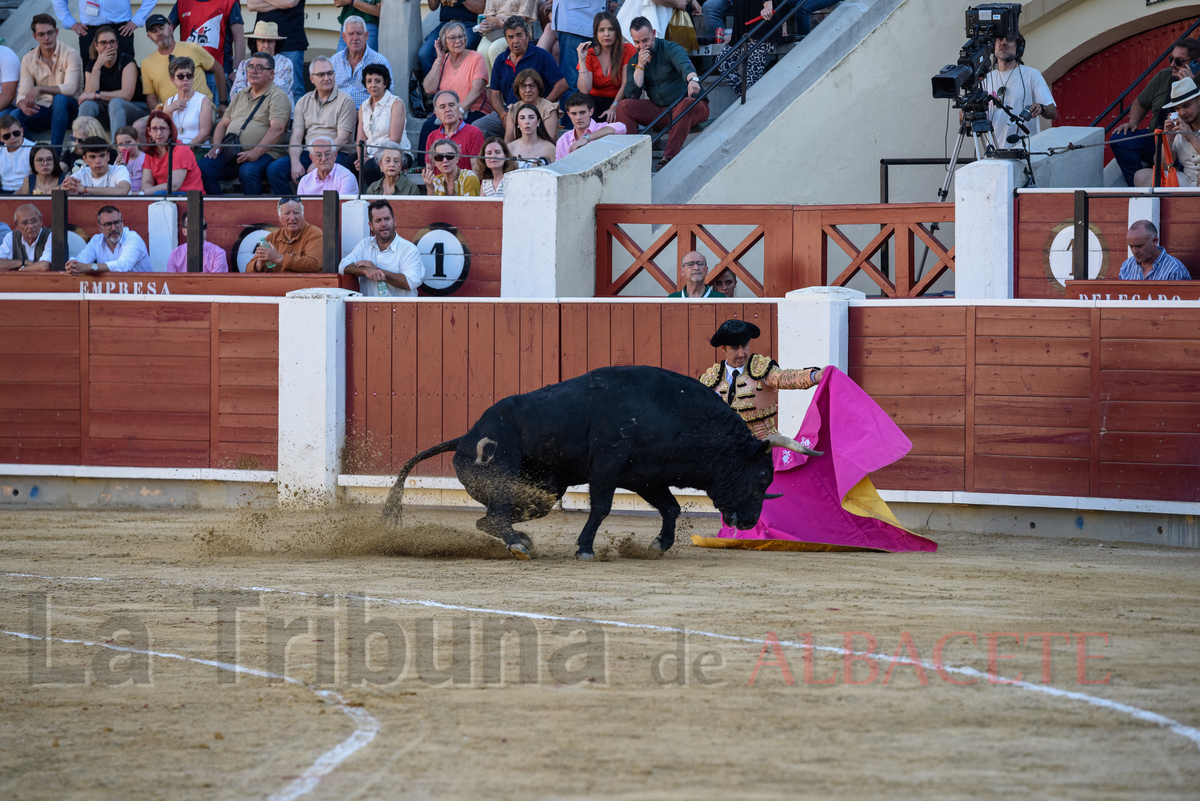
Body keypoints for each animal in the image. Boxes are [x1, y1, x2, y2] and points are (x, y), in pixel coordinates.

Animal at [379, 366, 820, 561]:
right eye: (761, 476)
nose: (748, 522)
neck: (673, 412)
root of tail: (466, 437)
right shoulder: (607, 469)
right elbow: (602, 507)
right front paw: (585, 548)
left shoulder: (646, 477)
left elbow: (671, 508)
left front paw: (659, 544)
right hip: (506, 479)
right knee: (497, 516)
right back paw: (520, 545)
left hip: (541, 493)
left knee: (489, 519)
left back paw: (522, 542)